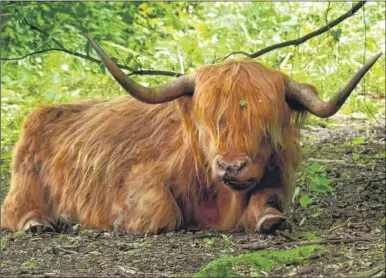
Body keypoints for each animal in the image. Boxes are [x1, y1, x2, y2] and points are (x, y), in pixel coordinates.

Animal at [0, 35, 380, 233]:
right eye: (210, 123)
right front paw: (122, 220)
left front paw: (270, 220)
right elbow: (160, 210)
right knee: (15, 209)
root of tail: (47, 110)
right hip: (24, 179)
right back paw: (38, 223)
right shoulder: (139, 176)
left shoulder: (275, 178)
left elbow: (267, 201)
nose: (231, 166)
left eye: (263, 125)